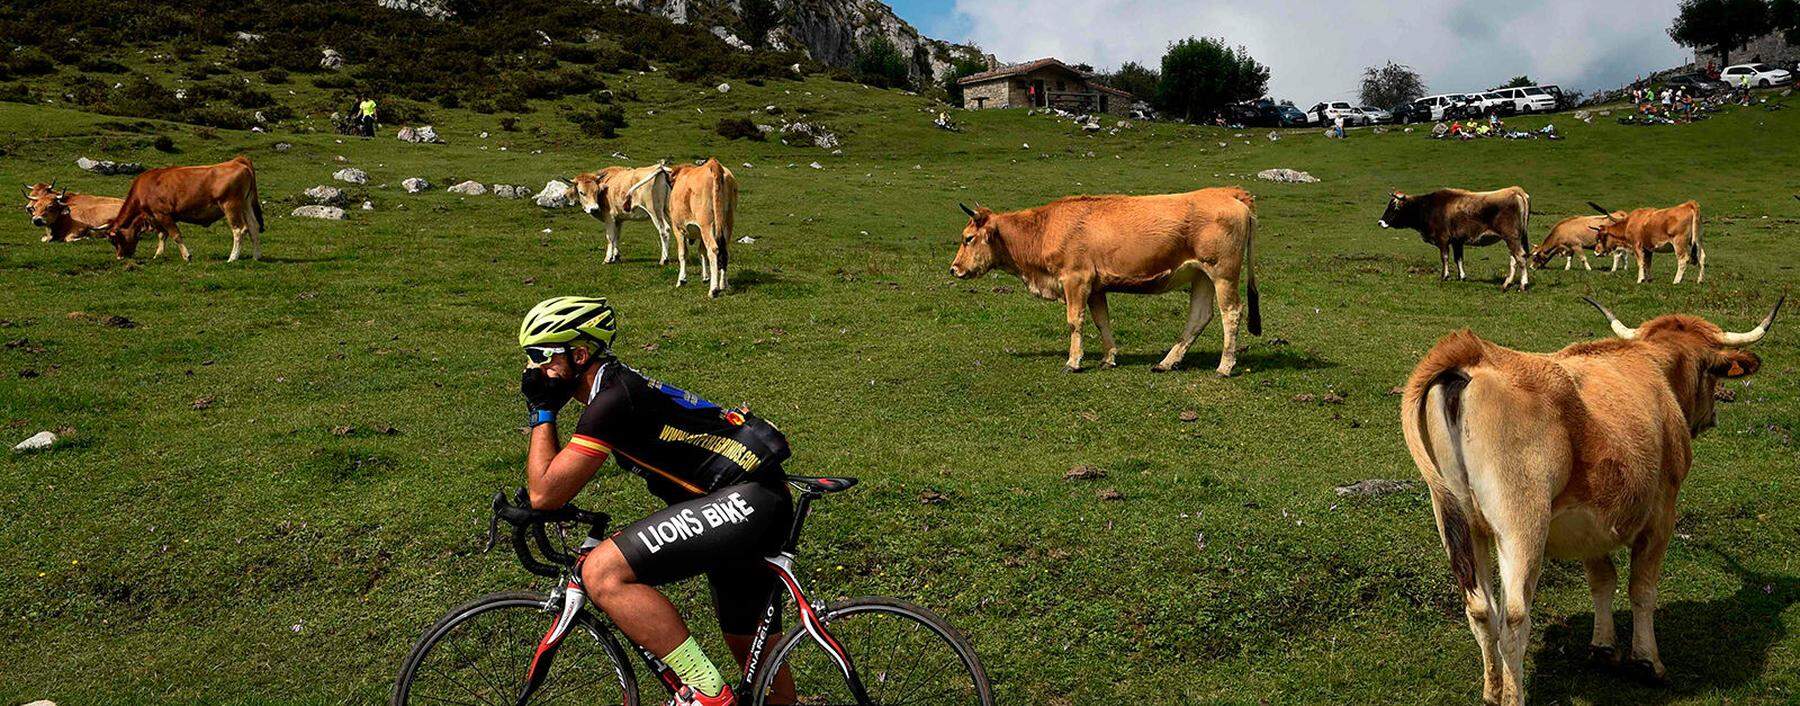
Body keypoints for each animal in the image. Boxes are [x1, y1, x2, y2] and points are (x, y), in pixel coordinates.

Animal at [107, 154, 264, 261]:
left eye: (114, 240)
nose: (120, 257)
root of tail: (236, 161)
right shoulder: (158, 217)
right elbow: (162, 235)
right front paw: (158, 255)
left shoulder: (161, 214)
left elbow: (175, 235)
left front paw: (186, 256)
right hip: (246, 204)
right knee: (253, 227)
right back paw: (256, 256)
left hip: (231, 205)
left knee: (239, 230)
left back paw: (232, 258)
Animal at [666, 158, 734, 297]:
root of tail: (713, 164)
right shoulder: (700, 233)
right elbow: (702, 252)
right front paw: (705, 277)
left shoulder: (678, 228)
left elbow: (683, 253)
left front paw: (681, 279)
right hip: (727, 222)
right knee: (724, 250)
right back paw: (723, 284)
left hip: (706, 223)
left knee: (713, 249)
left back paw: (713, 289)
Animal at [950, 186, 1260, 374]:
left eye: (968, 238)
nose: (953, 269)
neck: (1043, 228)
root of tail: (1229, 192)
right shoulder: (1096, 286)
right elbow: (1102, 321)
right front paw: (1108, 357)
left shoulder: (1075, 279)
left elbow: (1075, 321)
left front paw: (1073, 361)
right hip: (1201, 275)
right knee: (1199, 316)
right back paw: (1167, 362)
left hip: (1222, 273)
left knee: (1231, 313)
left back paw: (1225, 366)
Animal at [1375, 186, 1533, 291]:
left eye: (1394, 206)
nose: (1380, 222)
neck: (1428, 207)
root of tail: (1516, 191)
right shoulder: (1458, 241)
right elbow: (1459, 259)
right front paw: (1461, 276)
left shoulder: (1443, 239)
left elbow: (1444, 257)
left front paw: (1445, 276)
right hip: (1514, 238)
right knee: (1514, 259)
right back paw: (1507, 283)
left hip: (1511, 237)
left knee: (1520, 257)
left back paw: (1523, 285)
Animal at [1396, 295, 1778, 702]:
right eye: (1710, 372)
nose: (1712, 416)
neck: (1654, 368)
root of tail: (1472, 352)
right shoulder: (1662, 513)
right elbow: (1642, 588)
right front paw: (1648, 662)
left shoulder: (1591, 524)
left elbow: (1602, 580)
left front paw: (1603, 647)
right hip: (1522, 524)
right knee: (1514, 619)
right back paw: (1513, 695)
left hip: (1460, 523)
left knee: (1482, 610)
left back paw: (1492, 690)